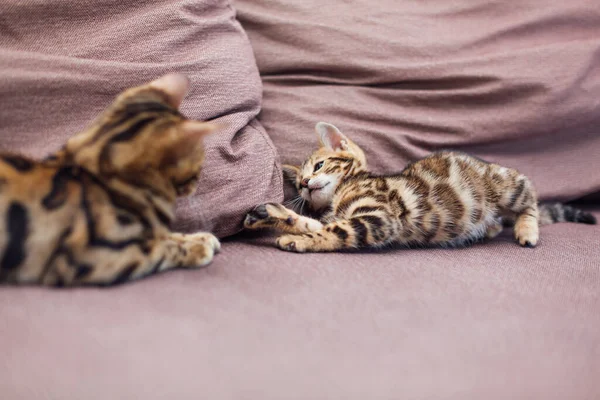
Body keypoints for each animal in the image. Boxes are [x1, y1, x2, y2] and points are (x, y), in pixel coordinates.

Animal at [244, 122, 596, 253]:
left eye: (318, 166)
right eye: (299, 184)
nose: (304, 184)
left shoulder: (379, 218)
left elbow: (333, 231)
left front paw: (297, 240)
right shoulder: (351, 216)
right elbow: (313, 223)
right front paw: (275, 215)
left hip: (508, 184)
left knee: (531, 194)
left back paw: (526, 229)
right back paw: (492, 229)